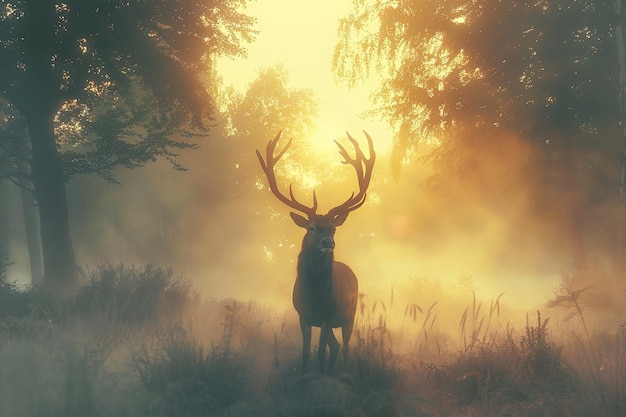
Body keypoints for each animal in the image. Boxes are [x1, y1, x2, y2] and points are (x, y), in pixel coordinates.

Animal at [255, 129, 372, 370]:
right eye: (312, 227)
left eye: (333, 228)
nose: (328, 242)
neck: (316, 297)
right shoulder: (304, 315)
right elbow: (306, 353)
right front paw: (305, 375)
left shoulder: (328, 317)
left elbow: (319, 352)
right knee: (335, 347)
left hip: (350, 315)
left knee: (345, 349)